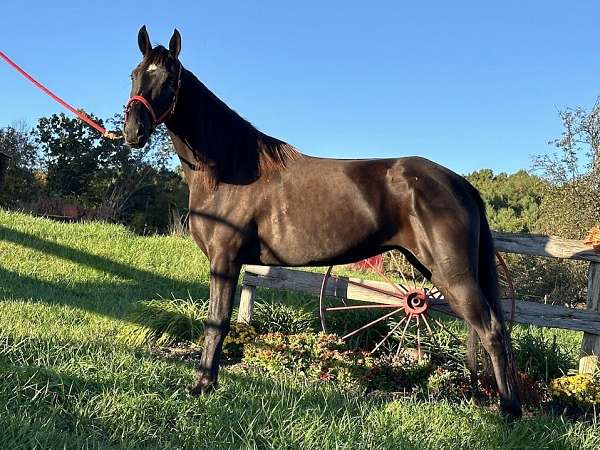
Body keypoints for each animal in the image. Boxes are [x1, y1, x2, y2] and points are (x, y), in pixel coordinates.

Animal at [124, 25, 524, 418]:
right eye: (135, 74)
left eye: (171, 78)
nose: (133, 131)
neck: (230, 170)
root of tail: (459, 182)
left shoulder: (225, 260)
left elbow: (216, 322)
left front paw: (203, 386)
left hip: (452, 275)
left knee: (491, 330)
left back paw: (509, 411)